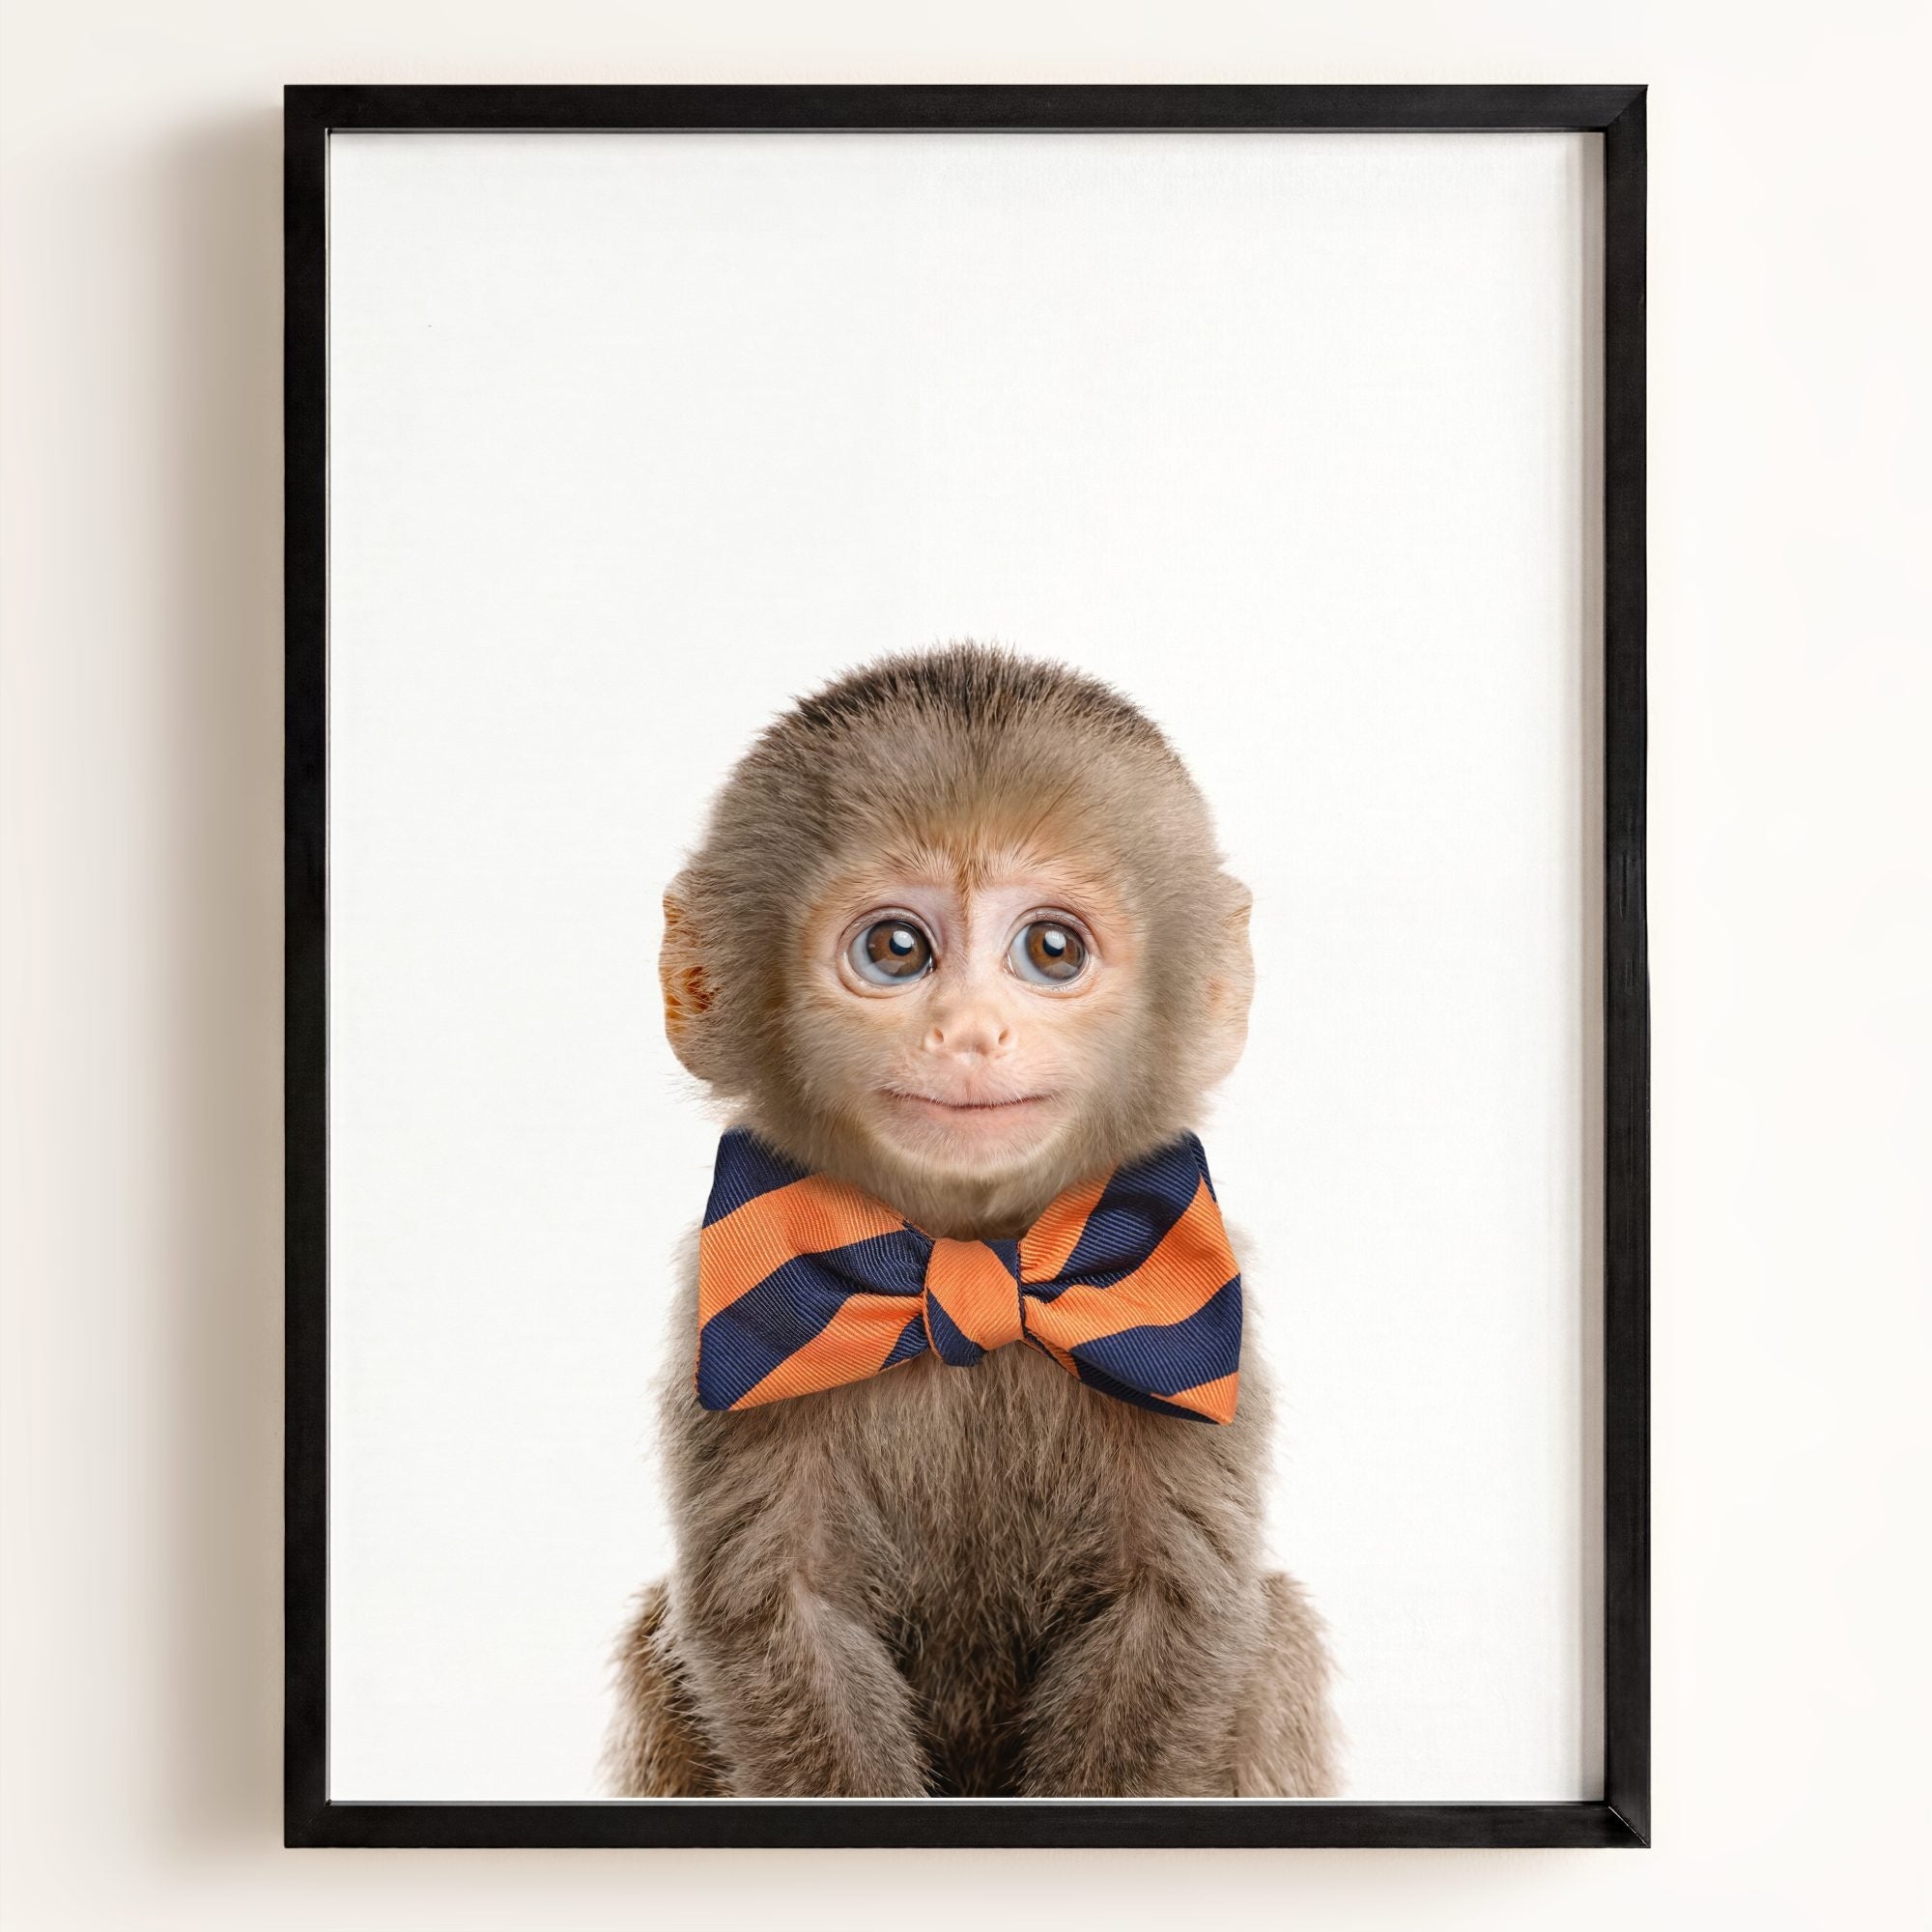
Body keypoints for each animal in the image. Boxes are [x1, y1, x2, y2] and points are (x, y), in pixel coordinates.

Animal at [602, 643, 1338, 1798]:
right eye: (897, 948)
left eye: (1051, 949)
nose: (970, 1032)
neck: (965, 1248)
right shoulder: (722, 1317)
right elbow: (778, 1612)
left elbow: (1174, 1610)